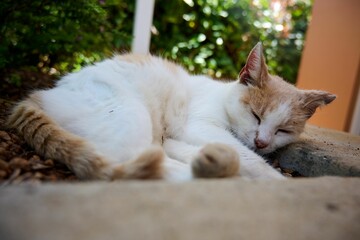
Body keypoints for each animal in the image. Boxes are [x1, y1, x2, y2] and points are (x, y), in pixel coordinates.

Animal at [7, 43, 336, 181]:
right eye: (256, 115)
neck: (222, 96)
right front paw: (276, 179)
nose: (262, 142)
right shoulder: (199, 125)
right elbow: (250, 158)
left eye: (283, 130)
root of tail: (38, 96)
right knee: (130, 167)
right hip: (131, 112)